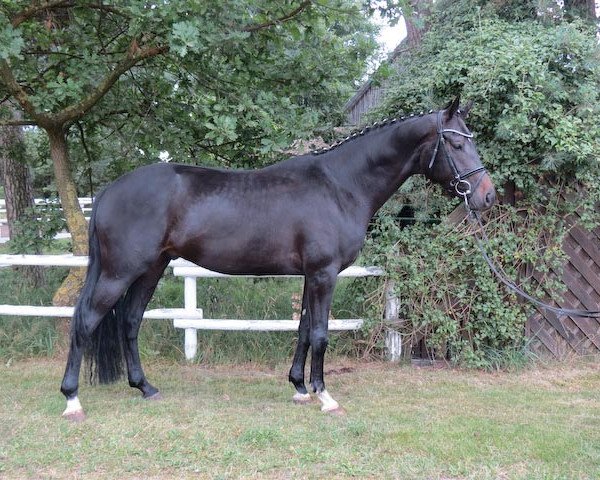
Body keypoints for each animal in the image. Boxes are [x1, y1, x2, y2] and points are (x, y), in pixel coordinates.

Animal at [59, 96, 496, 420]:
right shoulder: (324, 275)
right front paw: (325, 396)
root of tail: (109, 191)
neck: (341, 186)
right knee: (85, 321)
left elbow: (302, 329)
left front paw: (300, 387)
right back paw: (72, 400)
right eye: (457, 144)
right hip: (120, 272)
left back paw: (145, 388)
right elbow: (320, 334)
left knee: (130, 322)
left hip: (150, 270)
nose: (488, 196)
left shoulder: (309, 276)